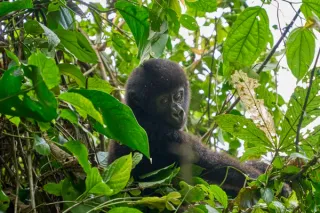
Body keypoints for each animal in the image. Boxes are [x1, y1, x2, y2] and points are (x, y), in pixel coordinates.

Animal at [107, 58, 264, 196]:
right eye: (163, 101)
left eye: (178, 96)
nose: (178, 112)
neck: (141, 113)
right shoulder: (165, 135)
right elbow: (220, 167)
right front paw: (262, 174)